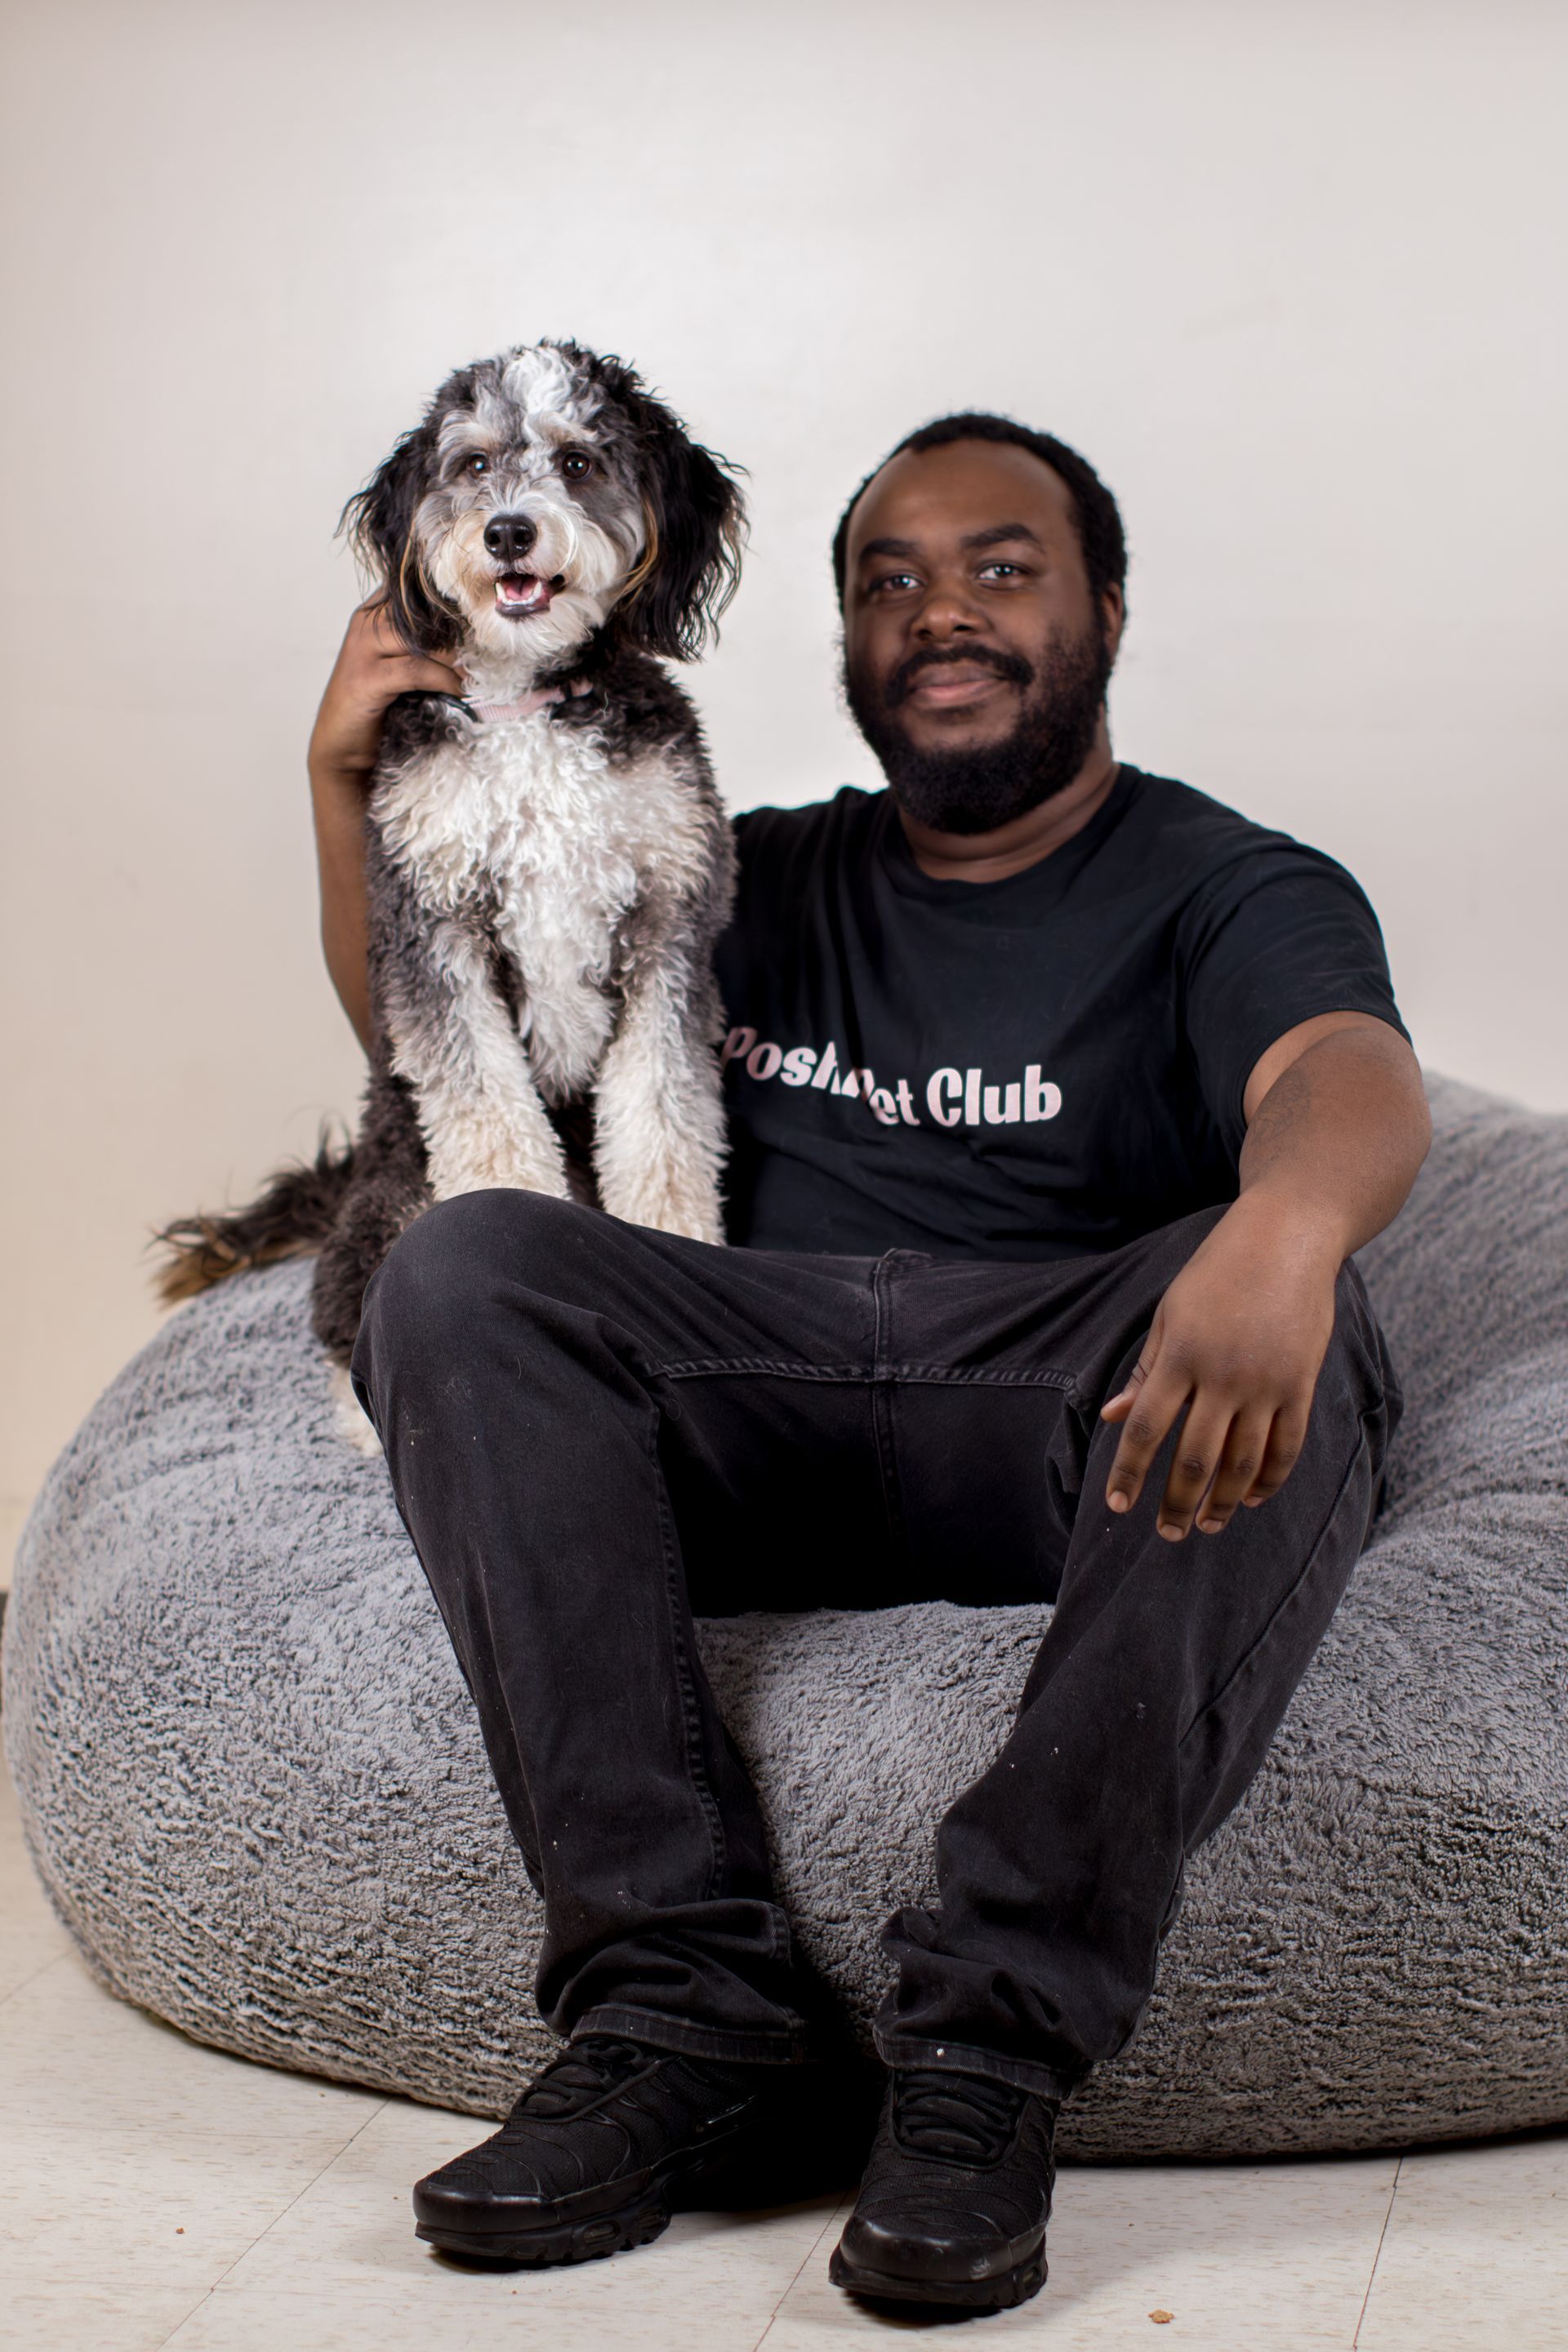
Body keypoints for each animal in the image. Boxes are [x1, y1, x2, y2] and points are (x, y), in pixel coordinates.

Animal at [156, 341, 747, 1383]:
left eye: (578, 463)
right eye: (471, 465)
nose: (508, 531)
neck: (525, 710)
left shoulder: (668, 927)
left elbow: (661, 1126)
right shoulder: (433, 928)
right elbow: (490, 1123)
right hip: (391, 1191)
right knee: (345, 1317)